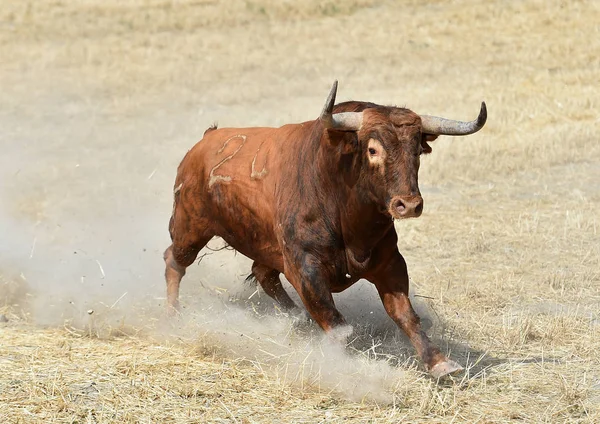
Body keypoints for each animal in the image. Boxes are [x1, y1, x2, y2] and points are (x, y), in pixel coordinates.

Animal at [164, 82, 488, 378]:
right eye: (373, 149)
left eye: (417, 151)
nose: (407, 205)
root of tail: (207, 139)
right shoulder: (305, 268)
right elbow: (335, 322)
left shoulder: (390, 263)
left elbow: (405, 314)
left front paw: (441, 363)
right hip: (190, 226)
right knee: (175, 261)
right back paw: (173, 315)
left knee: (264, 274)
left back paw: (297, 321)